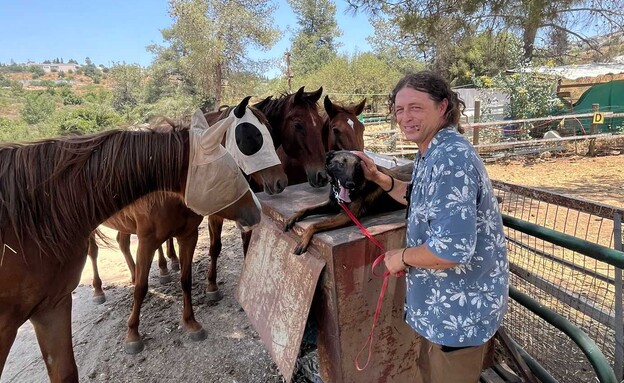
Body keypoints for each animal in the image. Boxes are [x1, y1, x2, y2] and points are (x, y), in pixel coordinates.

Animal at [0, 109, 260, 382]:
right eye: (231, 173)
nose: (257, 212)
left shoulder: (188, 236)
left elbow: (185, 280)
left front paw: (191, 322)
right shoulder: (147, 241)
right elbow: (140, 290)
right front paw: (133, 334)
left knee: (123, 244)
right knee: (96, 253)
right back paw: (99, 290)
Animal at [284, 152, 412, 256]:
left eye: (358, 166)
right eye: (341, 164)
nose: (350, 184)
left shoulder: (346, 215)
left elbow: (314, 224)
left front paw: (303, 239)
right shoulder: (332, 204)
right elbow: (307, 208)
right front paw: (294, 217)